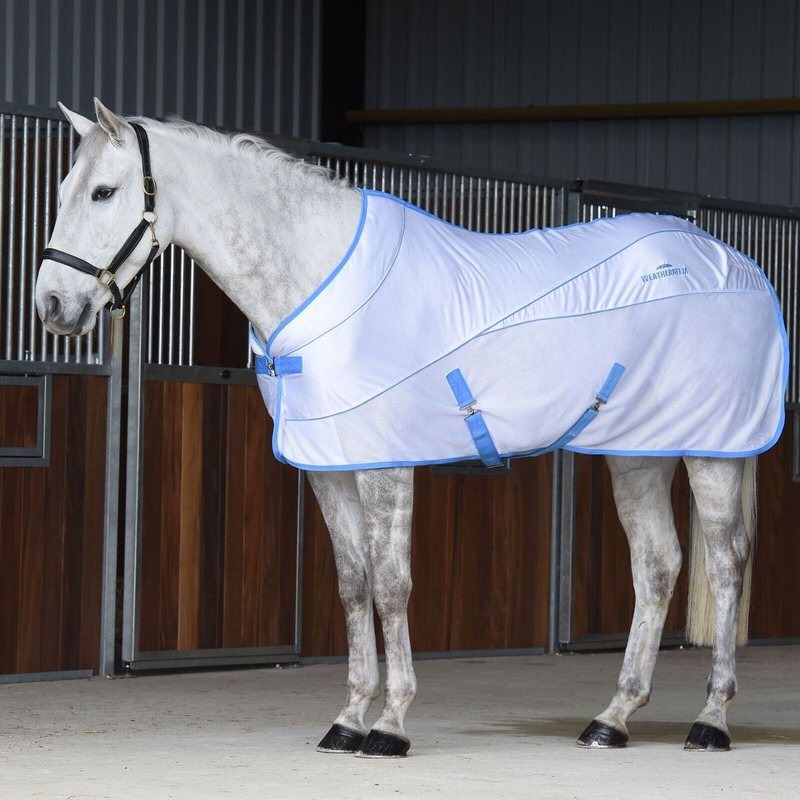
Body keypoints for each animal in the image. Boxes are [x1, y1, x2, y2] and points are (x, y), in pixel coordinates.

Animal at [36, 99, 787, 758]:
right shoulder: (331, 469)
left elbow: (392, 585)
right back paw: (613, 719)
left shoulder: (385, 465)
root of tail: (732, 262)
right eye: (66, 187)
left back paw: (711, 721)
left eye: (103, 192)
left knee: (726, 565)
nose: (51, 305)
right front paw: (347, 720)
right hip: (638, 453)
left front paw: (391, 725)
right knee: (658, 565)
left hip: (713, 452)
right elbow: (352, 584)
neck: (318, 276)